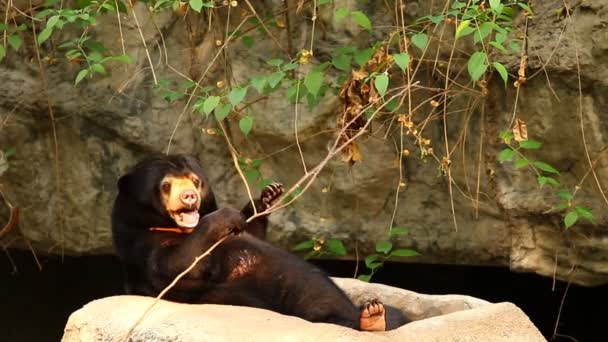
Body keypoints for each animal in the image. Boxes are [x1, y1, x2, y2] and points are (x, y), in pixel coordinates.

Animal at [110, 154, 404, 330]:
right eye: (166, 185)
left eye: (195, 181)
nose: (190, 197)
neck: (176, 228)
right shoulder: (140, 244)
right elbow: (176, 266)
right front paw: (226, 215)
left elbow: (252, 232)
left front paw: (268, 196)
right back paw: (371, 317)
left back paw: (374, 314)